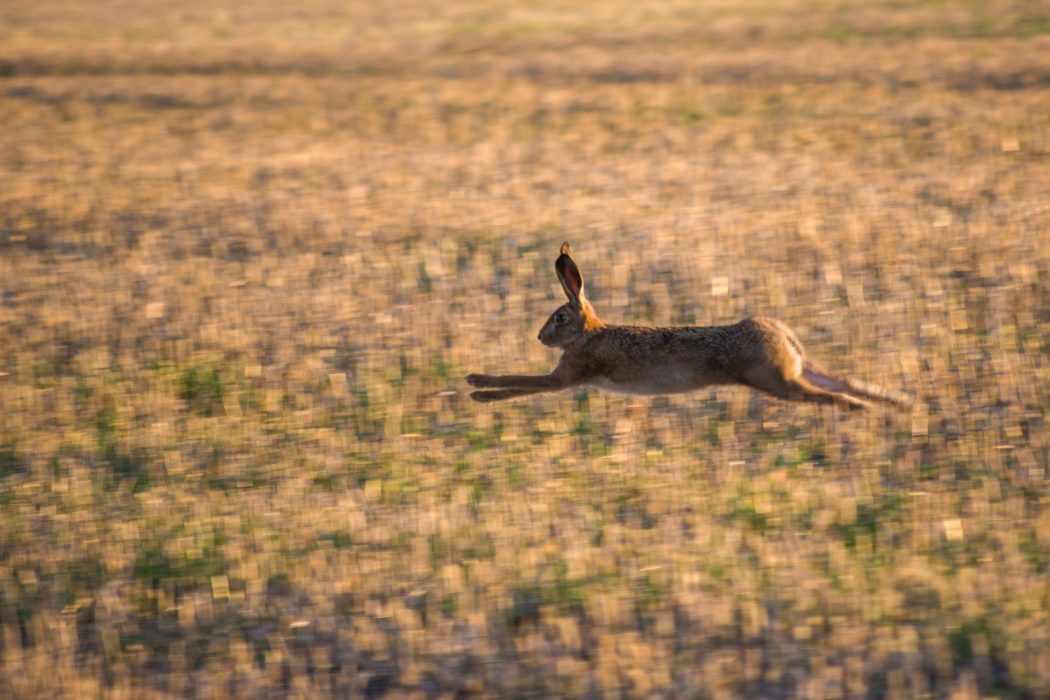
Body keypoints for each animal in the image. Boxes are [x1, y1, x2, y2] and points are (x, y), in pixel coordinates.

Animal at [466, 242, 911, 409]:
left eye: (559, 317)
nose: (540, 337)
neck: (589, 332)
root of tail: (780, 335)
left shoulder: (566, 376)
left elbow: (524, 382)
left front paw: (477, 390)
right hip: (791, 373)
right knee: (841, 382)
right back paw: (898, 405)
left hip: (776, 380)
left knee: (832, 395)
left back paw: (867, 412)